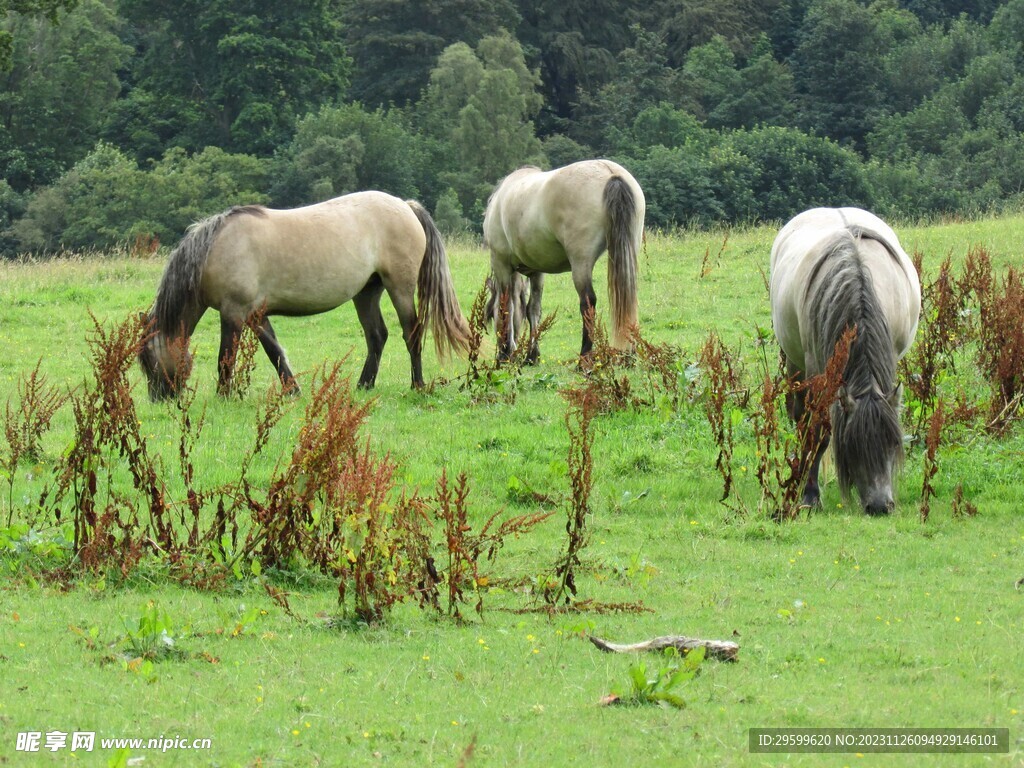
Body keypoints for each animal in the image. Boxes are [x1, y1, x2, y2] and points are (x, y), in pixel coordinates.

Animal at [138, 191, 468, 403]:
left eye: (150, 359)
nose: (159, 399)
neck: (216, 249)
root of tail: (405, 205)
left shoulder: (233, 312)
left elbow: (225, 358)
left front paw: (223, 396)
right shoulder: (256, 314)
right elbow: (275, 352)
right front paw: (293, 391)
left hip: (399, 288)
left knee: (412, 333)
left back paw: (417, 385)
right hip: (366, 293)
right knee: (377, 336)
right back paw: (364, 385)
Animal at [483, 159, 643, 364]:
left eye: (490, 316)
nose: (502, 353)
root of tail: (611, 174)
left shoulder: (500, 263)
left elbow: (506, 307)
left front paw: (504, 354)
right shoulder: (536, 271)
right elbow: (532, 309)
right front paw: (532, 356)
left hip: (580, 262)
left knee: (587, 302)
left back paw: (584, 360)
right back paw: (629, 355)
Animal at [770, 207, 925, 514]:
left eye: (892, 443)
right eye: (854, 446)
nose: (880, 506)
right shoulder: (817, 372)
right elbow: (817, 431)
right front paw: (810, 495)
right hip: (795, 364)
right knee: (800, 419)